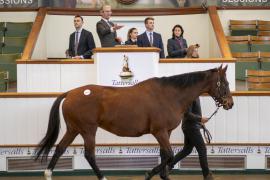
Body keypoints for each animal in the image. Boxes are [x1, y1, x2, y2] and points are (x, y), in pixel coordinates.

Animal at [35, 65, 233, 180]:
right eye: (224, 83)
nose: (230, 103)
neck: (170, 95)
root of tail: (70, 93)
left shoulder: (165, 132)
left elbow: (165, 155)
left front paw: (163, 176)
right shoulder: (159, 132)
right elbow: (169, 155)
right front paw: (148, 174)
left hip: (74, 129)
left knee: (60, 148)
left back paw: (48, 173)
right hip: (88, 130)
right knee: (89, 155)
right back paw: (102, 177)